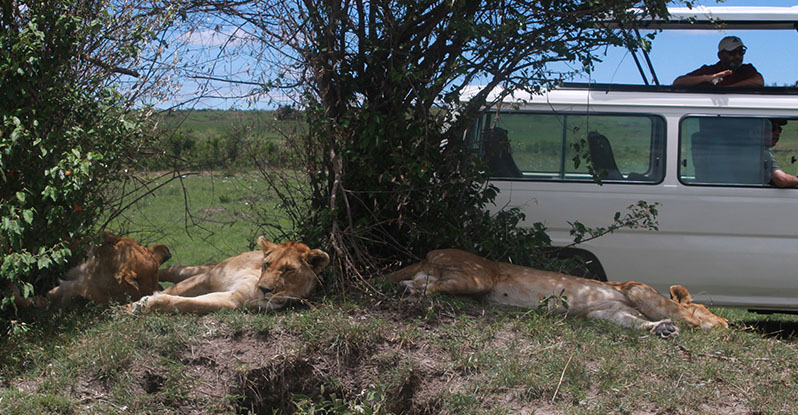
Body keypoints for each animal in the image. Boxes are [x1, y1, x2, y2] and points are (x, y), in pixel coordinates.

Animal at [130, 237, 330, 316]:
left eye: (288, 270)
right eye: (267, 264)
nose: (264, 289)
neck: (256, 275)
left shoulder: (234, 299)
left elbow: (184, 302)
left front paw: (144, 304)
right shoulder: (207, 278)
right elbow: (175, 290)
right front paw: (131, 305)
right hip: (203, 270)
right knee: (172, 270)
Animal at [388, 250, 732, 338]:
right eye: (709, 308)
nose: (728, 323)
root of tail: (430, 253)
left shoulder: (603, 312)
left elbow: (633, 322)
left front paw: (661, 328)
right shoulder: (636, 288)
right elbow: (680, 313)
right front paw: (695, 323)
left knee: (423, 281)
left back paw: (411, 287)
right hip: (478, 276)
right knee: (436, 284)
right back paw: (417, 291)